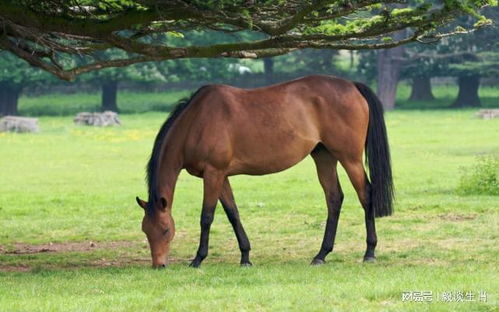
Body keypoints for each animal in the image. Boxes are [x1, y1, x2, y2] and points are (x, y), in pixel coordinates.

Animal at [136, 75, 394, 268]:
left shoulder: (213, 174)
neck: (196, 121)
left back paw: (369, 252)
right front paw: (245, 257)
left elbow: (207, 216)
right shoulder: (222, 176)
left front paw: (198, 259)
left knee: (366, 194)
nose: (159, 265)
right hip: (324, 156)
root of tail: (352, 86)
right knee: (334, 198)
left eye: (166, 229)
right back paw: (321, 255)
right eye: (145, 231)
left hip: (349, 158)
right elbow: (233, 213)